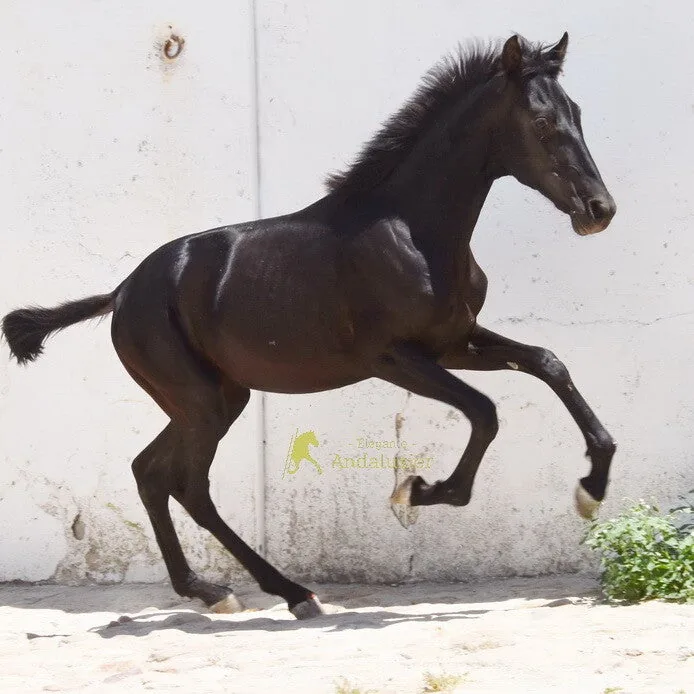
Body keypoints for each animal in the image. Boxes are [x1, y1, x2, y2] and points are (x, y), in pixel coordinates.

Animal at [2, 33, 617, 619]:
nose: (599, 209)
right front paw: (416, 491)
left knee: (151, 473)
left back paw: (222, 590)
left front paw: (591, 487)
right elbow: (485, 411)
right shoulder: (394, 358)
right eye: (542, 122)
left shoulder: (454, 344)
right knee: (187, 486)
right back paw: (278, 592)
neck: (414, 232)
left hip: (218, 398)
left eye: (579, 112)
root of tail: (121, 293)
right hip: (199, 404)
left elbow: (548, 364)